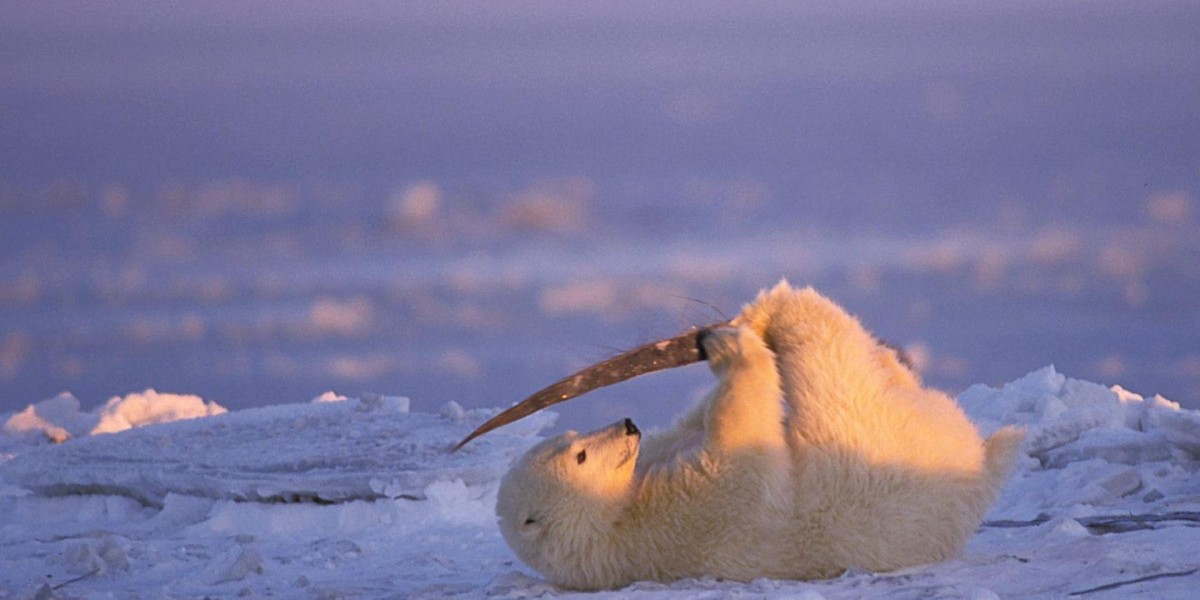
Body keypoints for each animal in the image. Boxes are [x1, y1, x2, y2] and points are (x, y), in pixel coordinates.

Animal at [492, 282, 1017, 590]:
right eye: (581, 456)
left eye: (573, 436)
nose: (627, 425)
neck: (612, 524)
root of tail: (979, 466)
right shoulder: (688, 517)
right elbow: (741, 445)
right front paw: (729, 344)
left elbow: (694, 425)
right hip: (867, 438)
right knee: (828, 353)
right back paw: (778, 306)